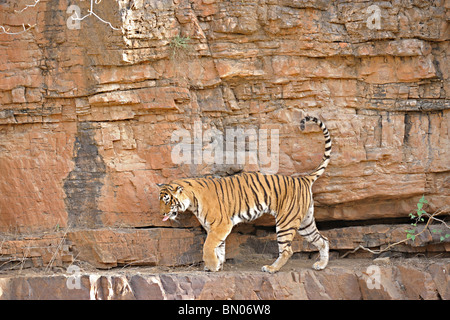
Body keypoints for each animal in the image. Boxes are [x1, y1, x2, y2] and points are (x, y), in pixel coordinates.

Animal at [157, 115, 330, 272]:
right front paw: (217, 266)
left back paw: (271, 268)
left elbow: (208, 246)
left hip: (286, 221)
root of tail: (303, 178)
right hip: (304, 221)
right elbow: (219, 248)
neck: (192, 201)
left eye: (167, 201)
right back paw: (321, 265)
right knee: (323, 240)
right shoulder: (216, 228)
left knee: (288, 250)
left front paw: (211, 265)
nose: (161, 214)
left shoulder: (221, 225)